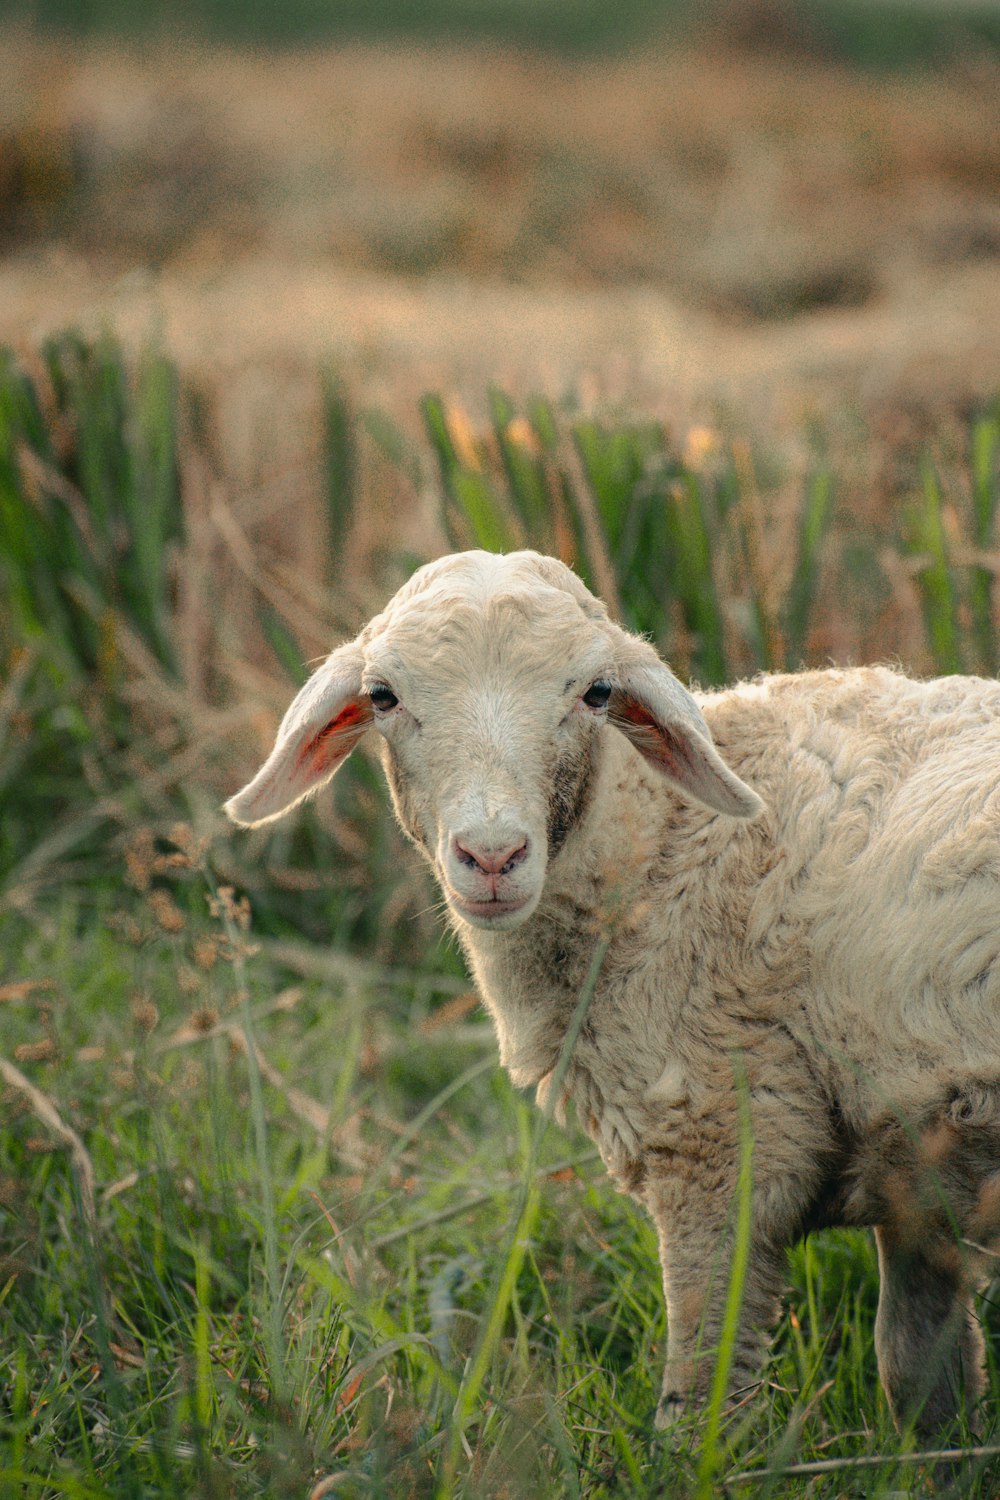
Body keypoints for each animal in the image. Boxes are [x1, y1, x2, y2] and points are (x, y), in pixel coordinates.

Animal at [224, 549, 1000, 1428]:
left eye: (595, 693)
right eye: (384, 695)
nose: (493, 856)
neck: (658, 844)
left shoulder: (721, 1137)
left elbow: (702, 1383)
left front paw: (695, 1450)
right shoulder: (918, 1184)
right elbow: (919, 1374)